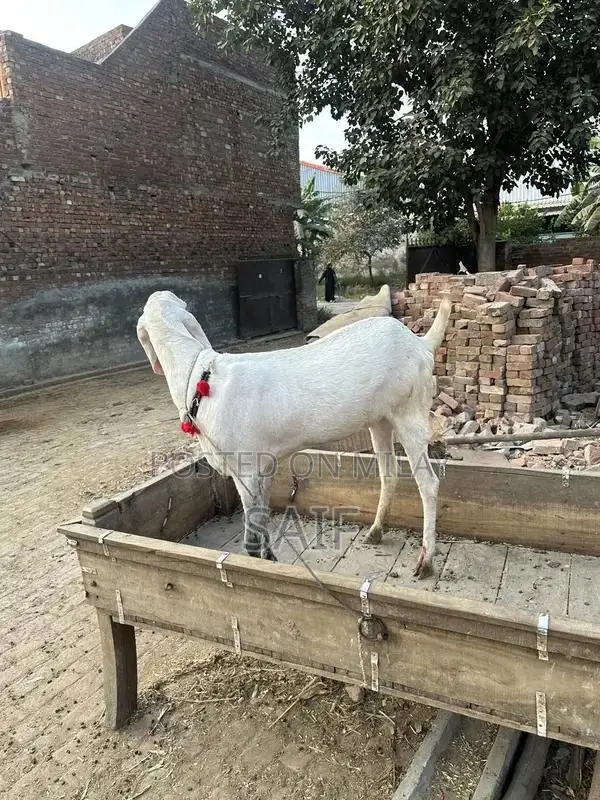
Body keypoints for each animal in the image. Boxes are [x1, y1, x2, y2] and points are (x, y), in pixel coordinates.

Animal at [137, 290, 452, 578]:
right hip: (381, 419)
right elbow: (261, 516)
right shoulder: (263, 464)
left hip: (410, 410)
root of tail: (421, 343)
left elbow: (251, 531)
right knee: (389, 473)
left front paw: (256, 562)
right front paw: (270, 558)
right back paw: (375, 532)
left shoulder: (245, 466)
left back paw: (425, 560)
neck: (201, 380)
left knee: (429, 483)